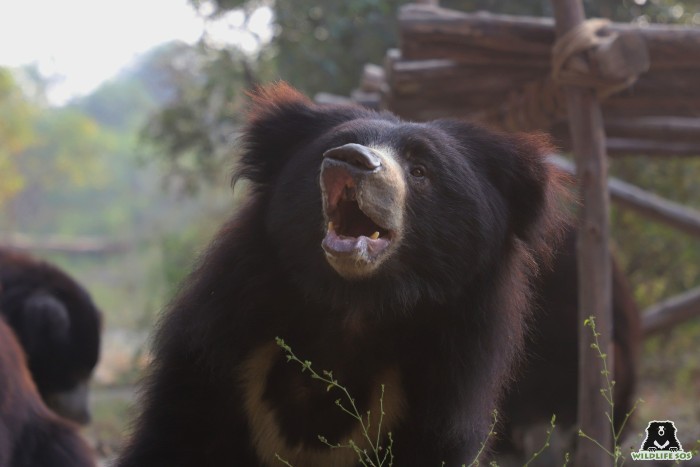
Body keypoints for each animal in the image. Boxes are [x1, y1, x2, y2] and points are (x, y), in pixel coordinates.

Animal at [116, 82, 568, 466]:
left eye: (420, 170)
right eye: (330, 150)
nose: (350, 159)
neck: (353, 305)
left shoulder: (444, 391)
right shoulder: (219, 347)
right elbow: (178, 438)